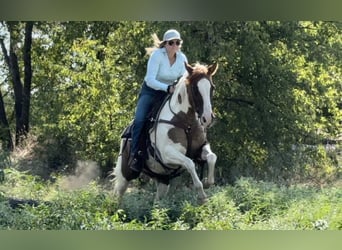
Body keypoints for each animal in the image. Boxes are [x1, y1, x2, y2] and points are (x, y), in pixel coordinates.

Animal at [113, 62, 218, 203]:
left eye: (212, 87)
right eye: (195, 88)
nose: (208, 118)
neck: (186, 123)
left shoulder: (200, 149)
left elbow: (212, 157)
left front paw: (208, 182)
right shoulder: (167, 154)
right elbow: (189, 163)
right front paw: (202, 194)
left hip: (162, 180)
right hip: (126, 174)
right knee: (117, 195)